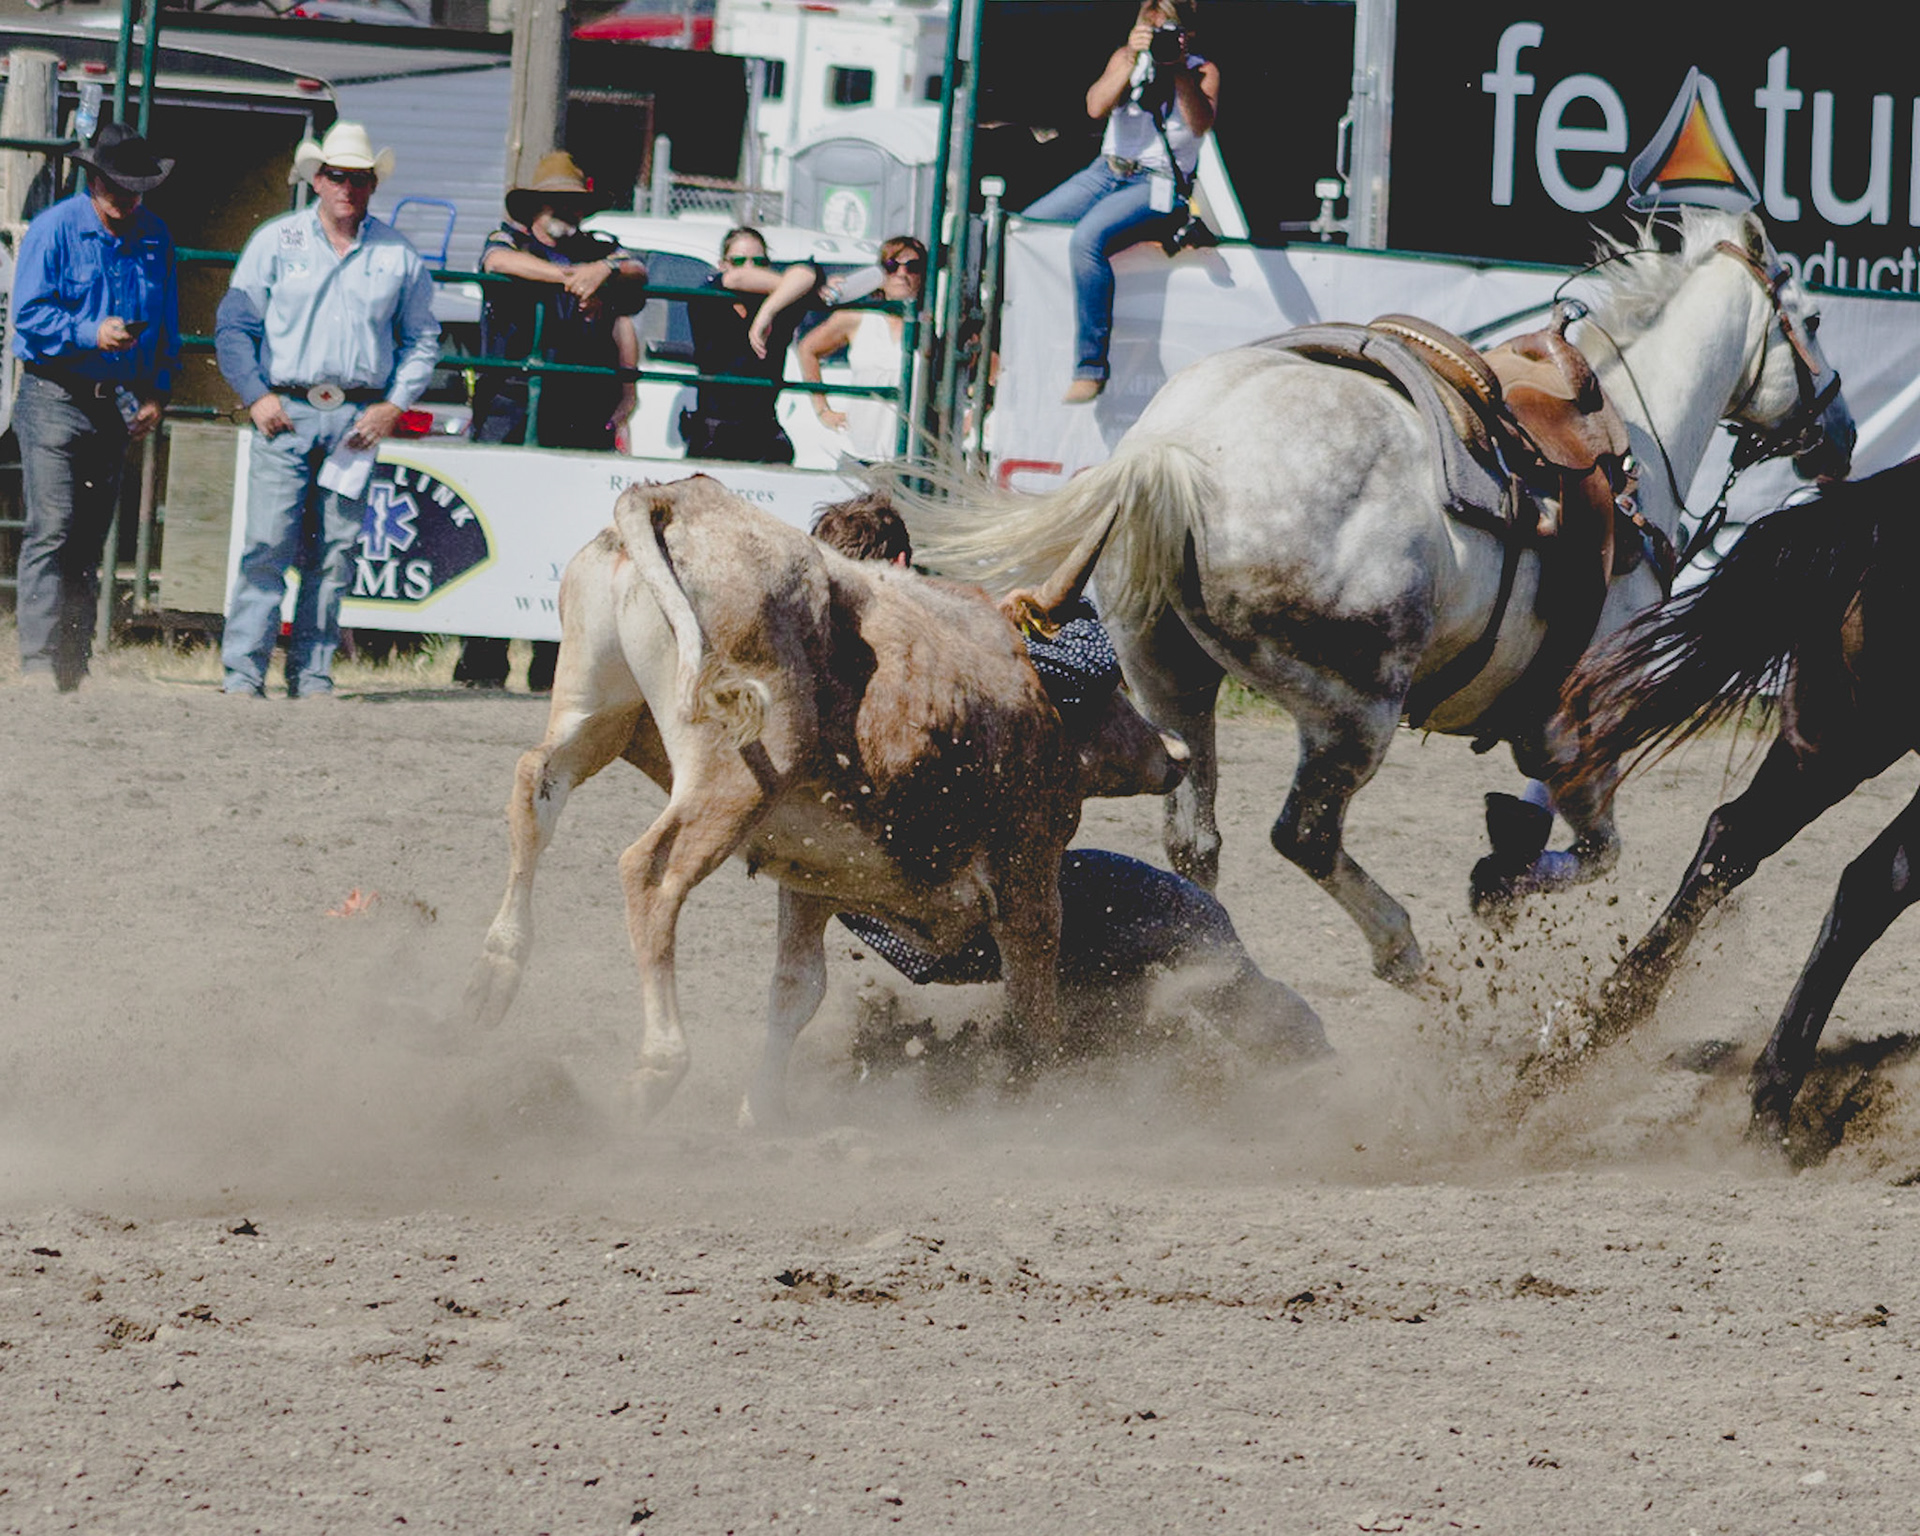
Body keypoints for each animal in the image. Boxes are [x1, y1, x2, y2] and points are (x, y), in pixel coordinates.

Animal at [463, 474, 1190, 1127]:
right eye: (1111, 685)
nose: (1176, 751)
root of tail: (679, 498)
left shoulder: (813, 873)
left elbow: (796, 990)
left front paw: (761, 1111)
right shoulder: (1029, 870)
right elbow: (1034, 1002)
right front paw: (1040, 1104)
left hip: (597, 713)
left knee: (535, 786)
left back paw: (493, 977)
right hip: (736, 775)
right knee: (651, 871)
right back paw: (656, 1067)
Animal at [911, 207, 1856, 985]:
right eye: (1810, 322)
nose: (1841, 435)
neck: (1634, 437)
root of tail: (1173, 447)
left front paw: (1505, 859)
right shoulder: (1580, 717)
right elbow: (1599, 848)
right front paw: (1499, 881)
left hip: (1168, 681)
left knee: (1195, 837)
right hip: (1354, 708)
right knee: (1305, 835)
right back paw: (1404, 954)